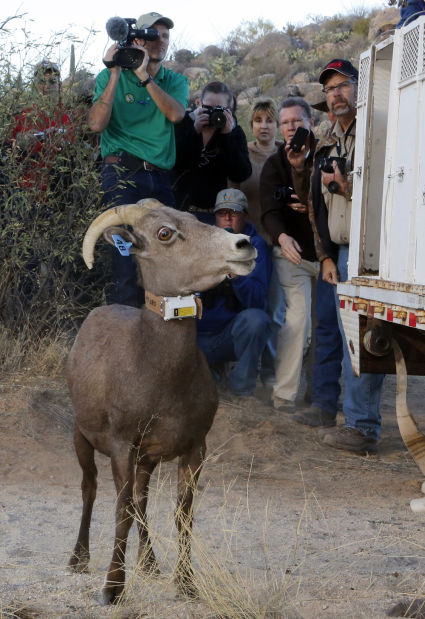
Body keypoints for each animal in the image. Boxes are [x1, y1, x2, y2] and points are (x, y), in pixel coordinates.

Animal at [68, 200, 256, 604]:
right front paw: (112, 590)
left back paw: (151, 564)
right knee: (90, 489)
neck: (163, 378)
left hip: (147, 461)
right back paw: (78, 559)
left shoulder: (194, 450)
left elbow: (182, 516)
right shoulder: (123, 446)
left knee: (141, 500)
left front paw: (186, 584)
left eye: (195, 218)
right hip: (82, 439)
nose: (243, 245)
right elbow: (120, 512)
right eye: (165, 233)